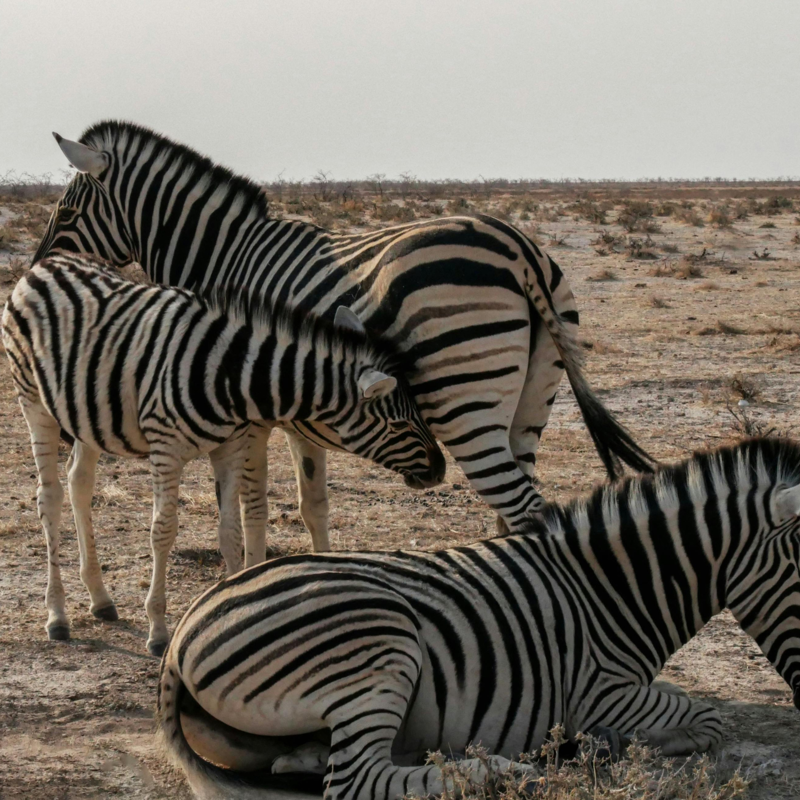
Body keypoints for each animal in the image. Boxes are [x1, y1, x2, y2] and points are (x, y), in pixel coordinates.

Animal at [2, 254, 444, 656]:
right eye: (399, 425)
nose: (439, 471)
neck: (231, 375)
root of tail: (45, 263)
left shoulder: (231, 447)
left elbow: (230, 532)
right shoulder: (167, 448)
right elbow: (163, 532)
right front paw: (158, 630)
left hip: (87, 415)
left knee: (79, 485)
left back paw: (100, 599)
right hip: (33, 402)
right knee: (49, 497)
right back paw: (57, 616)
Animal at [36, 121, 654, 546]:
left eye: (65, 215)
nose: (41, 271)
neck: (222, 254)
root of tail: (518, 246)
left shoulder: (249, 404)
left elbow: (250, 504)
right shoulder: (300, 406)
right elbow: (312, 502)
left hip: (465, 405)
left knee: (524, 508)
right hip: (532, 401)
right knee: (514, 510)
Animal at [158, 435, 800, 800]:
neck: (616, 587)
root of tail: (180, 641)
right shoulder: (598, 691)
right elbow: (707, 719)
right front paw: (591, 747)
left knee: (326, 762)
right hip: (380, 642)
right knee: (356, 781)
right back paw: (498, 772)